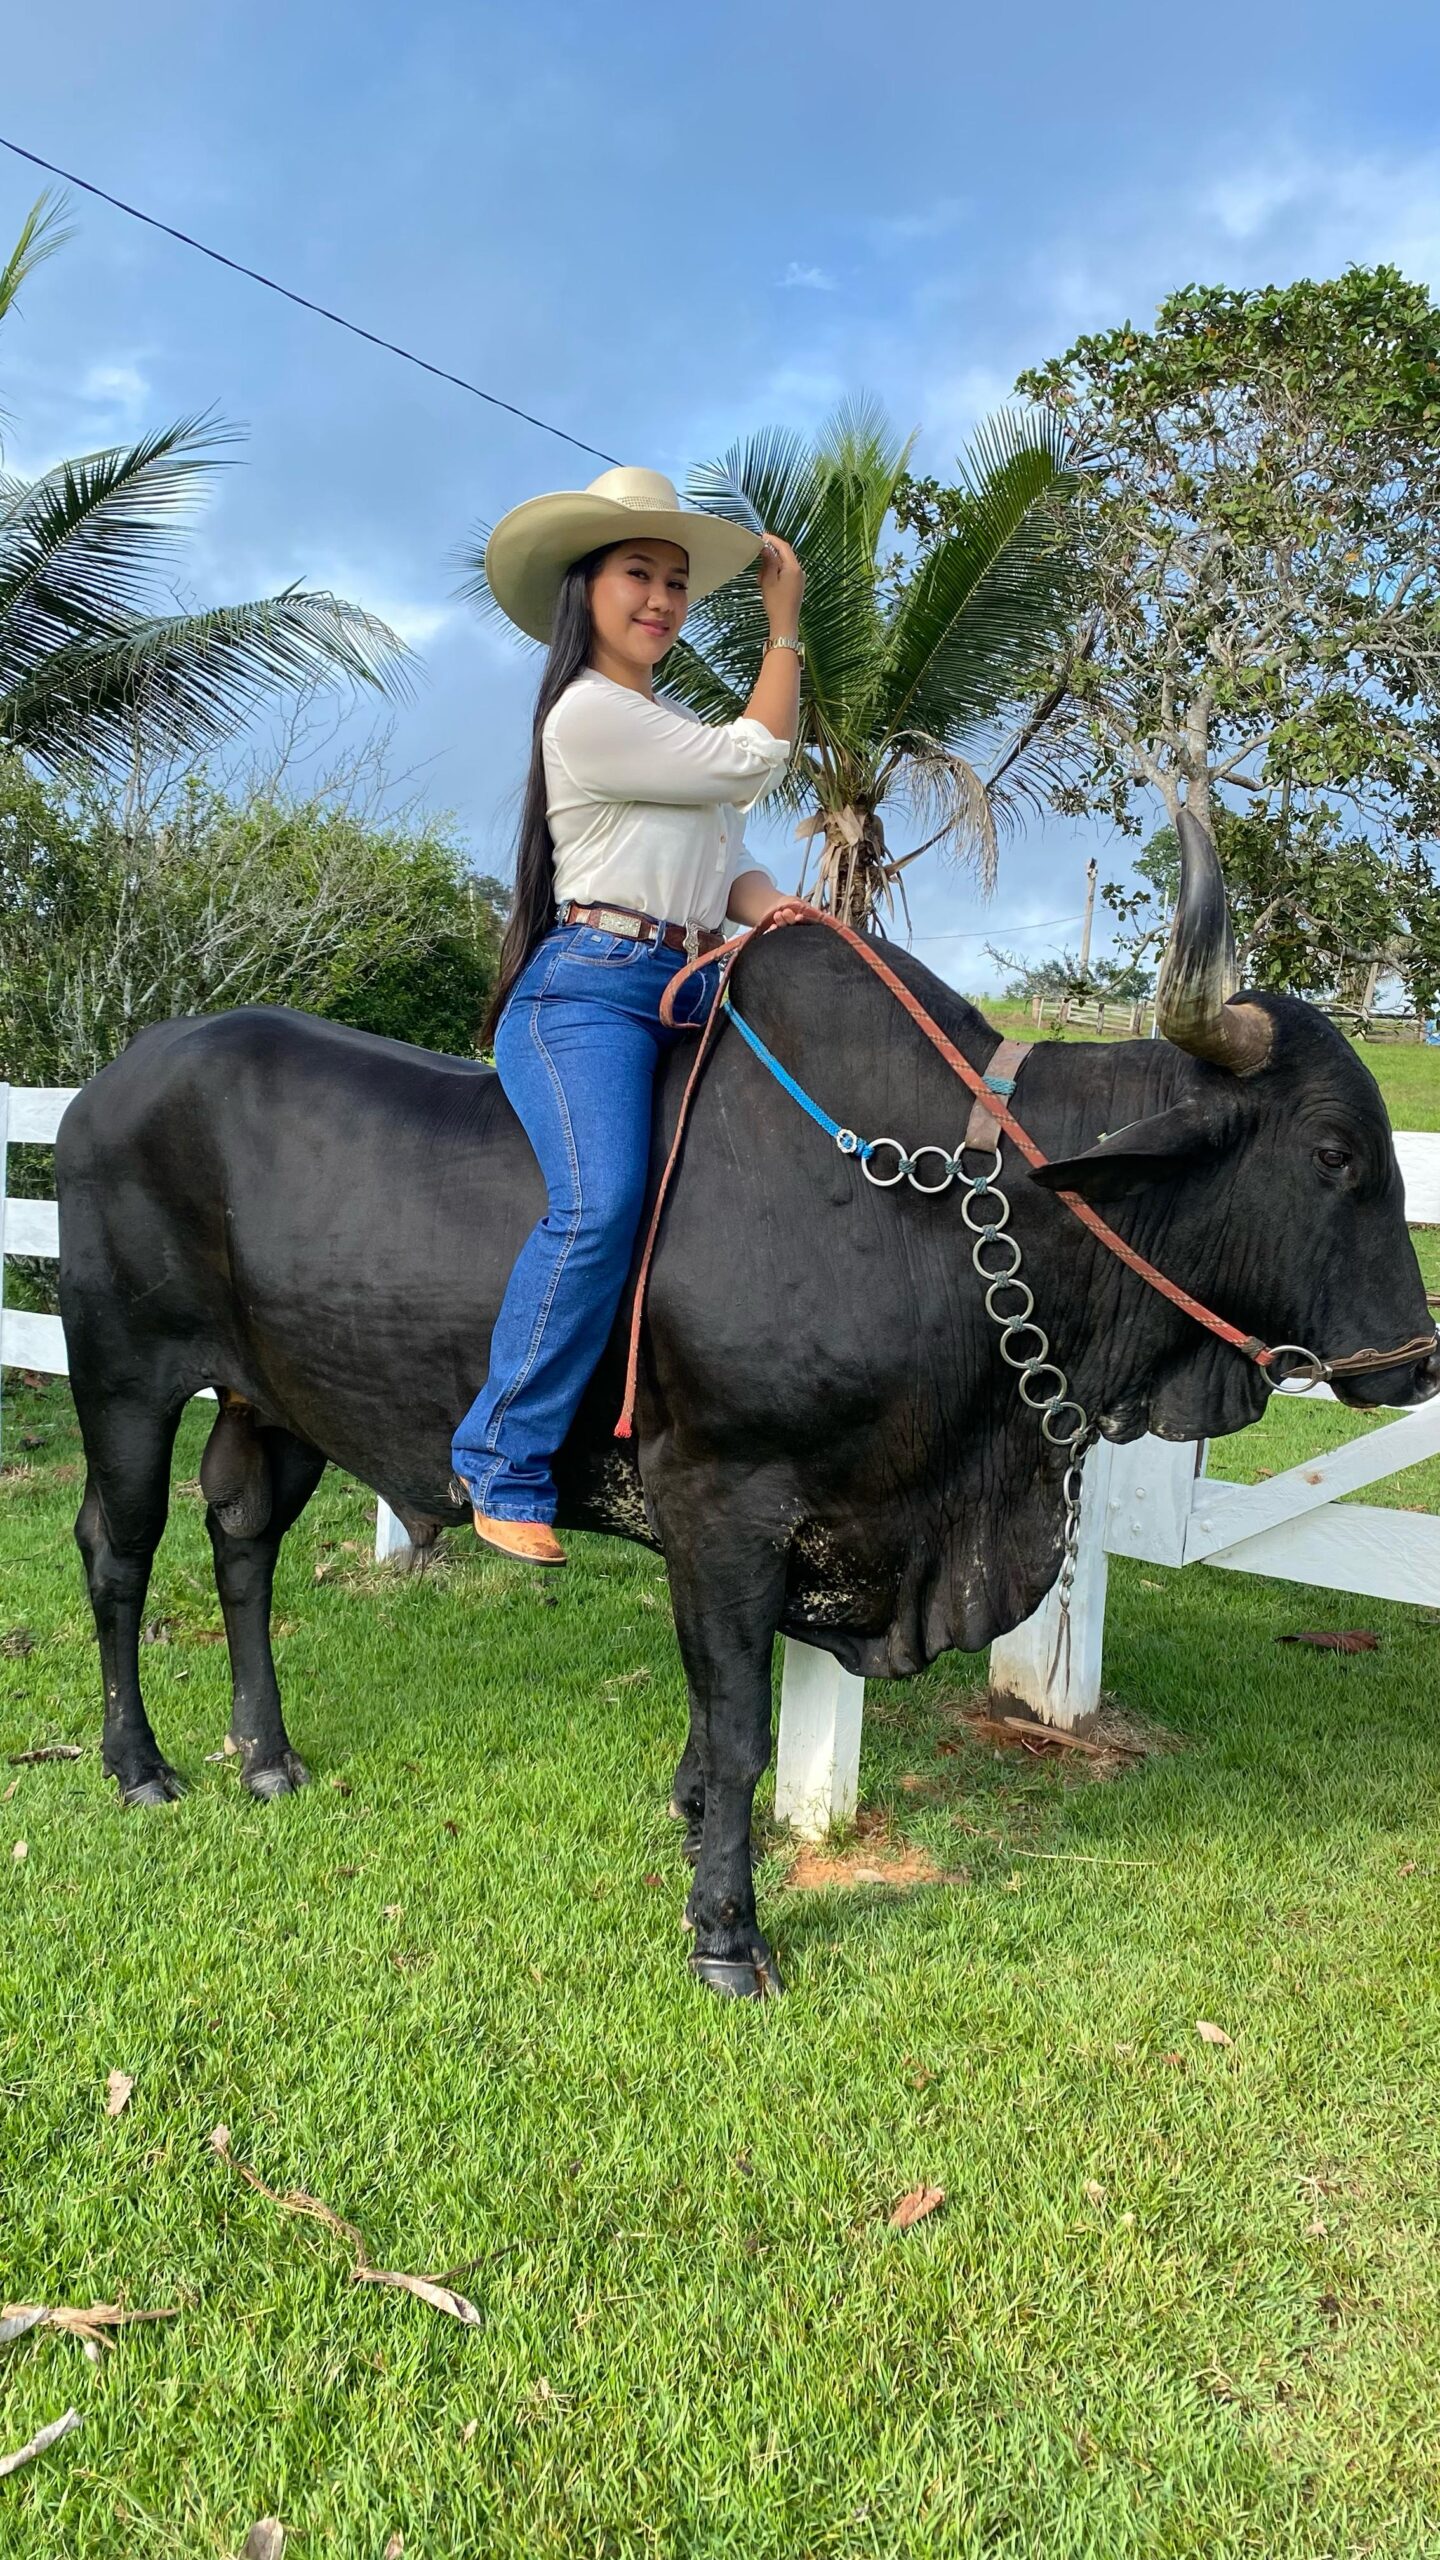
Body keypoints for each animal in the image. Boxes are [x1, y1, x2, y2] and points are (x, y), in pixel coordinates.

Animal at [55, 815, 1439, 1997]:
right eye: (1331, 1151)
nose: (1417, 1361)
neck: (953, 1209)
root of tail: (111, 1077)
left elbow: (718, 1715)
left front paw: (687, 1832)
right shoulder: (723, 1499)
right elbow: (739, 1732)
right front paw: (727, 1932)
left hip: (273, 1397)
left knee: (241, 1539)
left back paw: (266, 1757)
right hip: (121, 1373)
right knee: (119, 1549)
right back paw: (141, 1766)